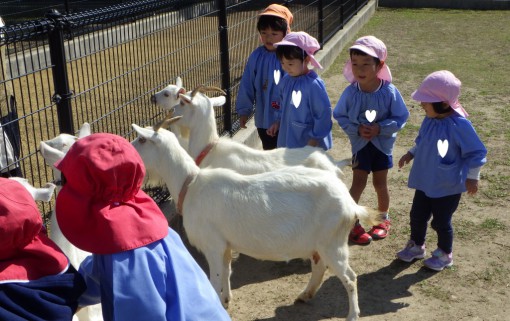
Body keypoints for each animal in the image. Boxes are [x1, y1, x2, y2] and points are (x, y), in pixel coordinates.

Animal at [131, 117, 382, 320]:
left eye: (141, 140)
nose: (128, 148)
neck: (191, 185)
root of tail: (350, 203)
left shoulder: (212, 244)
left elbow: (215, 279)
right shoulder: (225, 245)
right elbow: (227, 272)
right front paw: (226, 301)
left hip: (332, 242)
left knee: (350, 277)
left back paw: (352, 315)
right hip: (320, 243)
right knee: (320, 266)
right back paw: (304, 295)